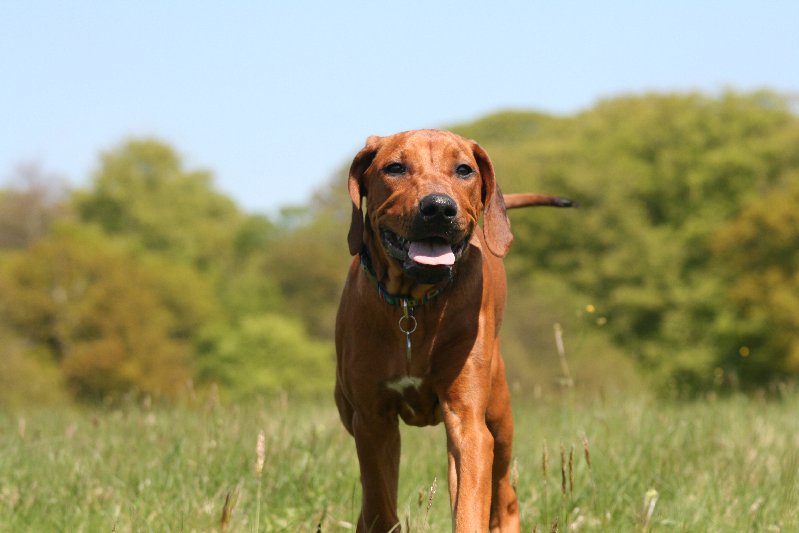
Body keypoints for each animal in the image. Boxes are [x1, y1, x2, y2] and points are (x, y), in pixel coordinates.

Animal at [338, 130, 576, 532]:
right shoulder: (372, 421)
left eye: (464, 170)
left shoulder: (468, 422)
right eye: (395, 167)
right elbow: (379, 505)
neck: (413, 305)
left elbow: (469, 505)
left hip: (499, 414)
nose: (438, 208)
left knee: (504, 494)